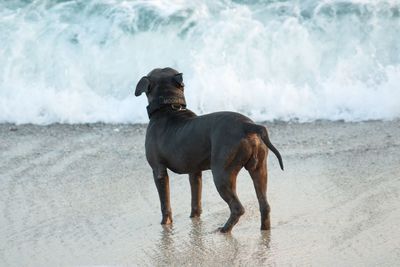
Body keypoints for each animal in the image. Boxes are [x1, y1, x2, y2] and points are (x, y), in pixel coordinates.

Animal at [136, 68, 282, 233]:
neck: (169, 107)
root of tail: (248, 125)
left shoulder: (158, 170)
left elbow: (165, 203)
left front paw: (165, 223)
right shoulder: (194, 172)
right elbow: (196, 200)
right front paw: (194, 218)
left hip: (222, 174)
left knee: (238, 208)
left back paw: (224, 229)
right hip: (259, 170)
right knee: (265, 205)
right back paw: (264, 229)